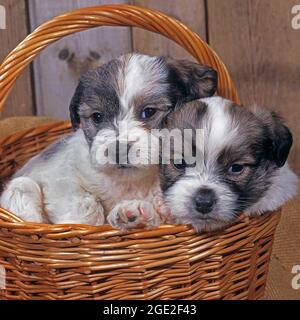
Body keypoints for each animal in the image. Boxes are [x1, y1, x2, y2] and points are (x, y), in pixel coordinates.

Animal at [0, 53, 218, 228]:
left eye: (148, 112)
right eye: (97, 117)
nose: (119, 150)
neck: (131, 181)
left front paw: (139, 214)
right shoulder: (59, 178)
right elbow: (87, 208)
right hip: (20, 188)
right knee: (24, 187)